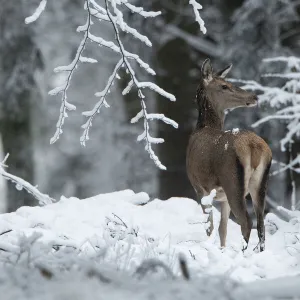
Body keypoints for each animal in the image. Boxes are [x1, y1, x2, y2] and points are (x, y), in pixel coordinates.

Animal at [185, 58, 272, 251]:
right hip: (259, 183)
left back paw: (242, 251)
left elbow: (209, 226)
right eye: (225, 86)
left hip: (232, 180)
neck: (202, 128)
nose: (254, 97)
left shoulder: (199, 187)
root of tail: (254, 147)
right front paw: (221, 250)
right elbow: (222, 228)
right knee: (261, 224)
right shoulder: (222, 197)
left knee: (247, 222)